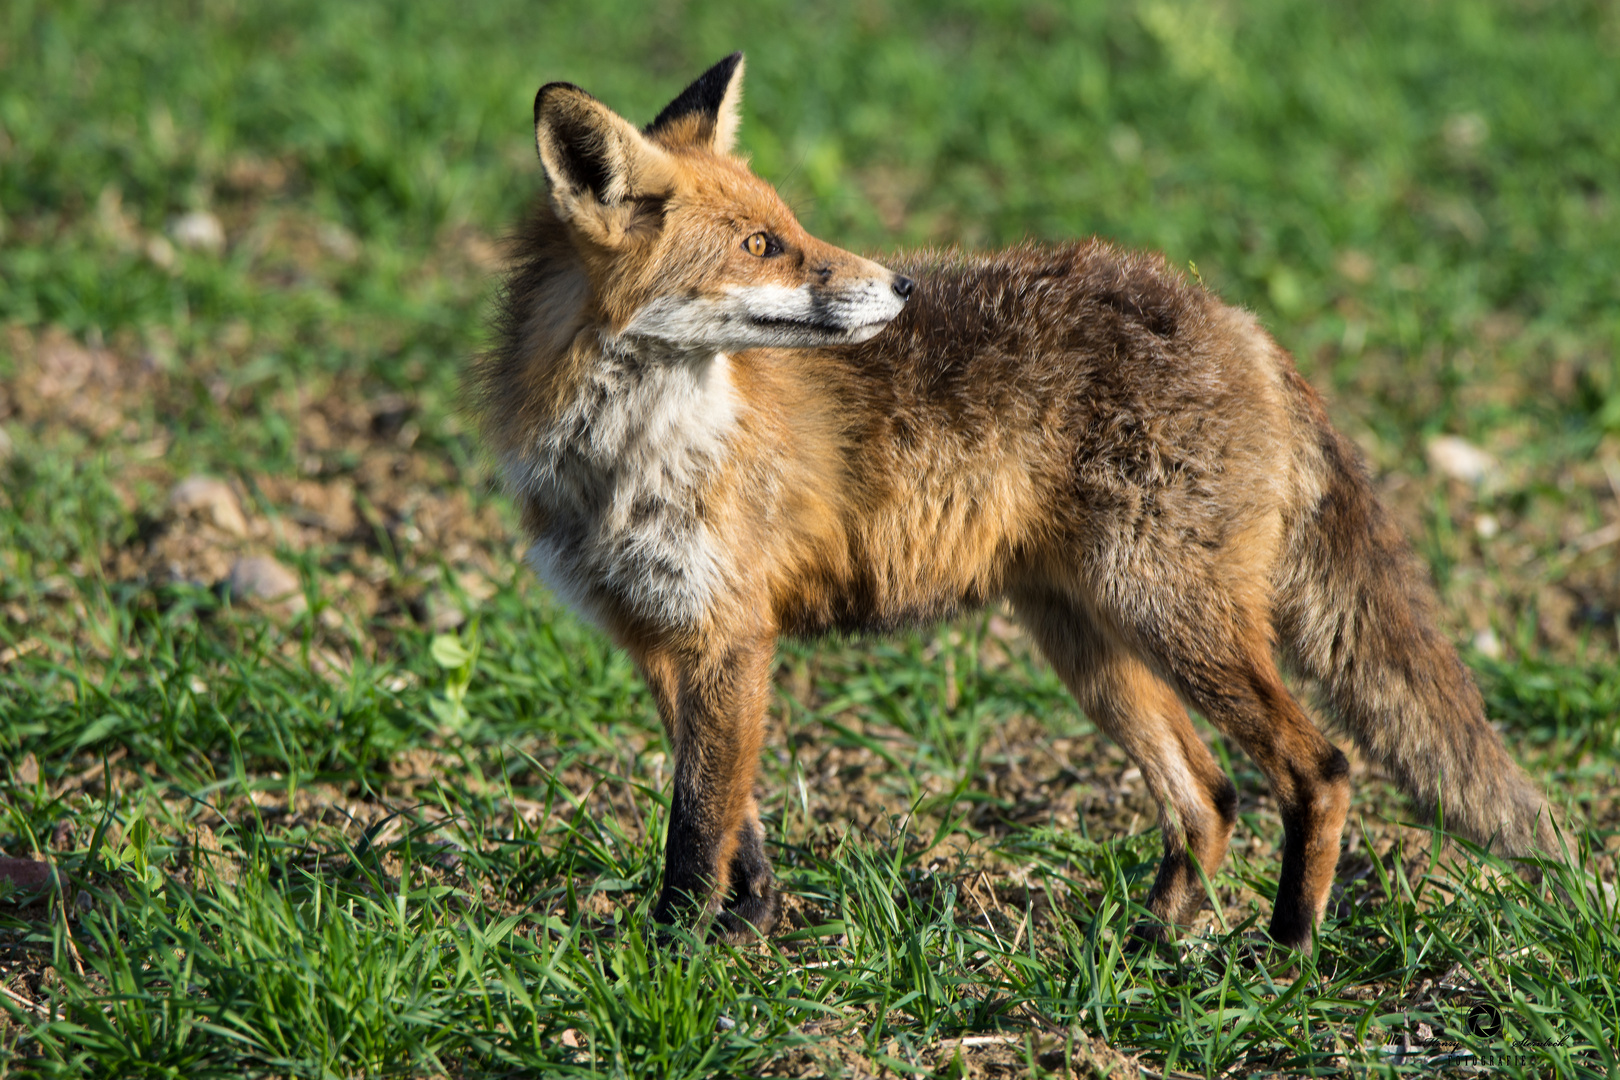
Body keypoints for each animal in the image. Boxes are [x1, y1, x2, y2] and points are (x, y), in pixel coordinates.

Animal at [473, 55, 1561, 952]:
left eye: (791, 229)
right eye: (760, 244)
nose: (901, 287)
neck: (627, 459)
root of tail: (1239, 320)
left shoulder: (728, 635)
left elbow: (697, 828)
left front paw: (678, 960)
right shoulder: (663, 640)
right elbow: (734, 826)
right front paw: (746, 927)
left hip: (1172, 615)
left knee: (1318, 768)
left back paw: (1285, 949)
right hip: (1089, 639)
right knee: (1208, 795)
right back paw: (1148, 947)